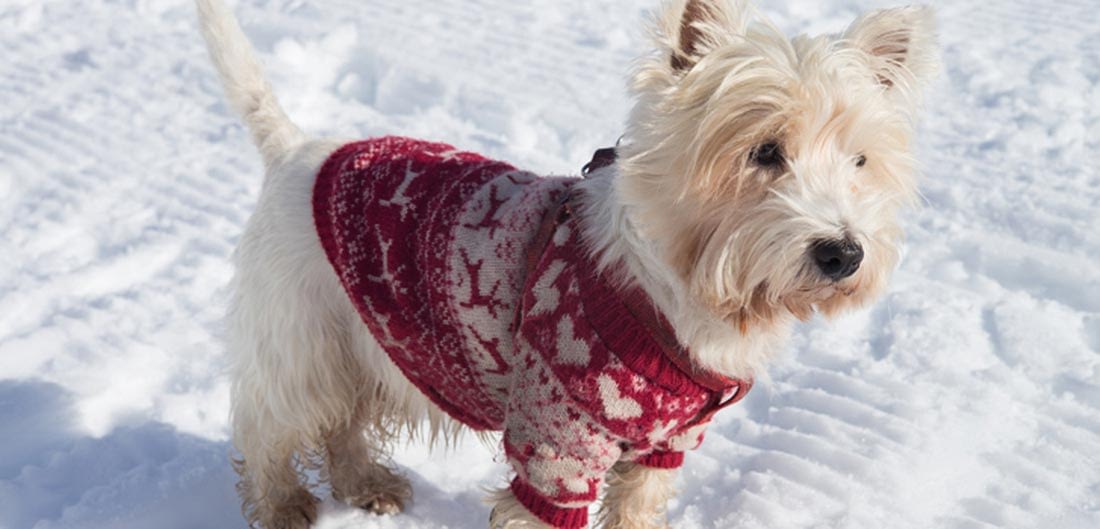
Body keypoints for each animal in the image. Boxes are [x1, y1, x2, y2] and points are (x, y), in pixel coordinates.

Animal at [198, 1, 937, 527]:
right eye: (764, 151)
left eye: (860, 160)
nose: (843, 253)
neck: (681, 294)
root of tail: (298, 149)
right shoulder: (556, 445)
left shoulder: (664, 447)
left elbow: (637, 508)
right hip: (303, 337)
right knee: (269, 425)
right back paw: (285, 507)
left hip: (369, 341)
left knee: (345, 425)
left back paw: (368, 485)